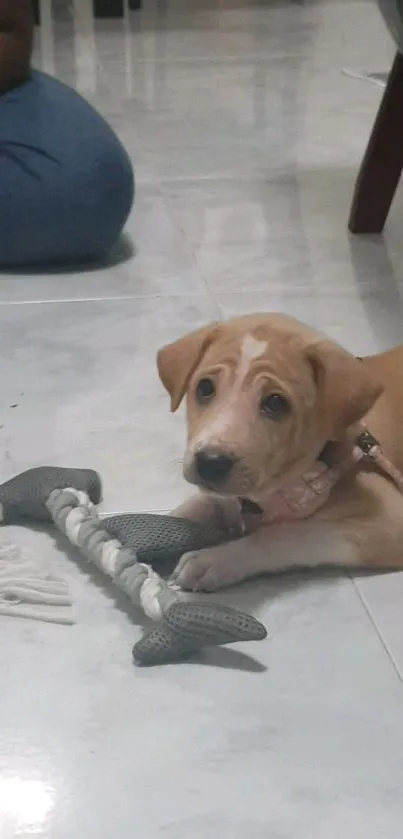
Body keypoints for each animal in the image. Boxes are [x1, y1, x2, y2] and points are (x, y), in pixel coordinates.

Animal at [157, 312, 403, 592]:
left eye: (276, 403)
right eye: (204, 388)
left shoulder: (390, 521)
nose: (210, 462)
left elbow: (287, 534)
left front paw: (214, 559)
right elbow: (193, 508)